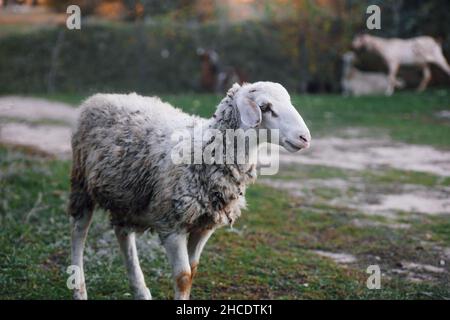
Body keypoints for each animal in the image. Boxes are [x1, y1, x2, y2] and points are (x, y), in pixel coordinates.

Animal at [69, 80, 310, 300]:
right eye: (265, 107)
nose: (305, 138)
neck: (205, 149)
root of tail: (100, 96)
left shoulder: (205, 225)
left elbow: (192, 271)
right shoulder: (170, 224)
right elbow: (183, 277)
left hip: (126, 195)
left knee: (123, 234)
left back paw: (141, 291)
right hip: (82, 184)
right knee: (79, 233)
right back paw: (79, 290)